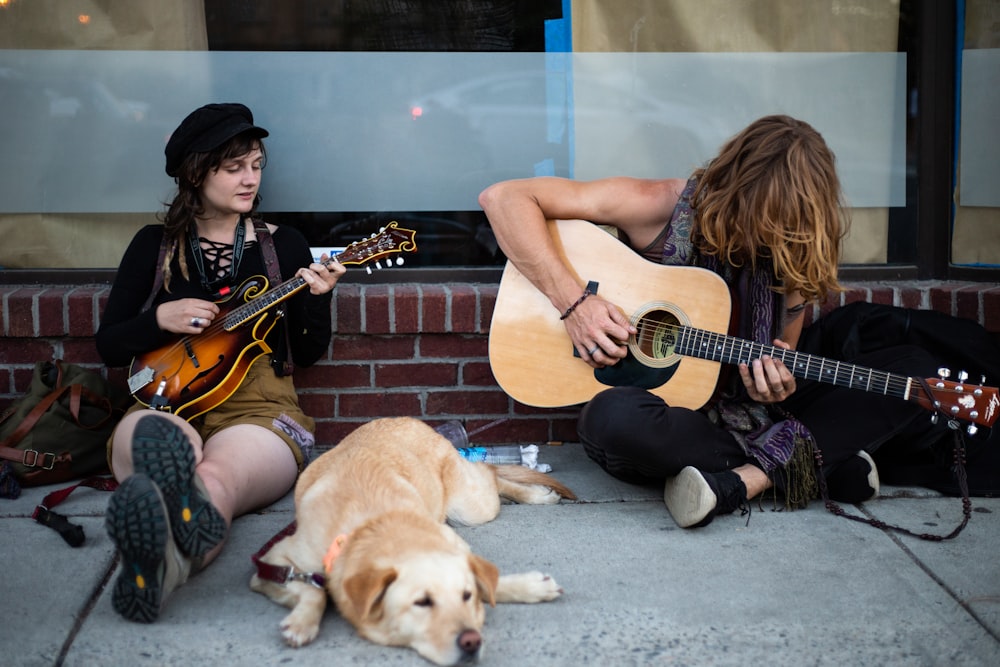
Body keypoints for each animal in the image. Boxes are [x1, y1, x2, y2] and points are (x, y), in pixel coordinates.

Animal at [252, 418, 580, 664]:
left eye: (466, 596)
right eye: (421, 603)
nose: (472, 641)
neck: (375, 523)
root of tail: (412, 420)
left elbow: (489, 580)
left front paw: (530, 586)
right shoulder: (271, 565)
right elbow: (314, 590)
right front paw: (302, 622)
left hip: (471, 507)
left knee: (491, 474)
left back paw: (536, 494)